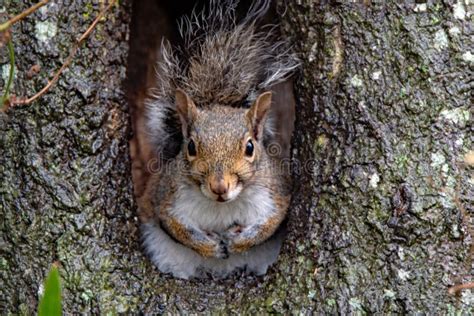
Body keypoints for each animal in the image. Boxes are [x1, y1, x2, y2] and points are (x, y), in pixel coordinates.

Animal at [139, 0, 298, 278]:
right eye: (191, 147)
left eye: (250, 147)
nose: (220, 187)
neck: (222, 206)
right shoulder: (165, 194)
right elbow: (173, 224)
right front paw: (207, 246)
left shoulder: (276, 192)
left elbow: (271, 222)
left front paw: (239, 241)